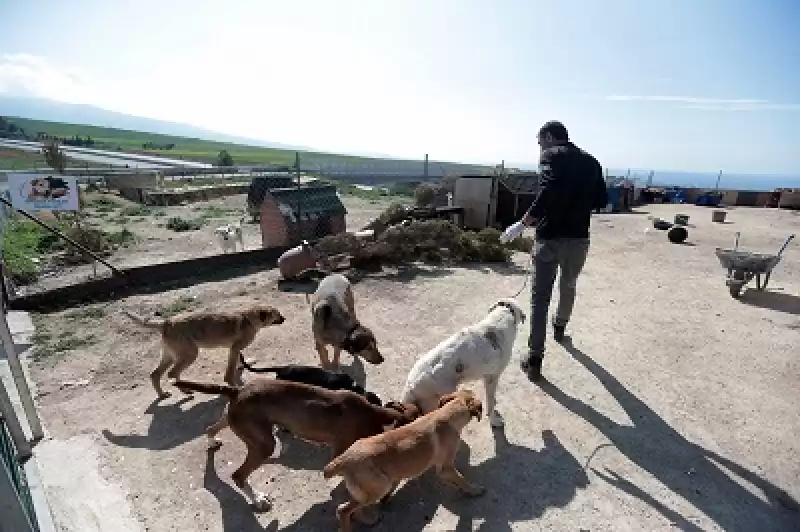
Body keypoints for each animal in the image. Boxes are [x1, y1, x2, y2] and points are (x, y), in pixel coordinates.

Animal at [123, 304, 286, 400]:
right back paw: (184, 390)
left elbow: (238, 362)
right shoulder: (234, 348)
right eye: (277, 314)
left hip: (171, 356)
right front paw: (233, 383)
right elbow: (230, 371)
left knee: (155, 374)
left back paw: (163, 394)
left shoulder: (234, 349)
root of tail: (166, 322)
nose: (284, 318)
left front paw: (240, 368)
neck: (249, 318)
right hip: (189, 355)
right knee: (172, 373)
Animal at [173, 378, 422, 512]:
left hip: (235, 420)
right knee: (238, 475)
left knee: (210, 428)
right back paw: (258, 500)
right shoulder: (341, 449)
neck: (374, 414)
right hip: (264, 445)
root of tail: (237, 390)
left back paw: (212, 440)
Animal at [322, 388, 484, 528]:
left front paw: (458, 487)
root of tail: (343, 459)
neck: (448, 413)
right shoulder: (446, 467)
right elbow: (461, 479)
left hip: (366, 491)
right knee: (343, 510)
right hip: (381, 486)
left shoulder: (442, 469)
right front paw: (474, 490)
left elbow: (453, 479)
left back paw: (368, 520)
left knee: (352, 509)